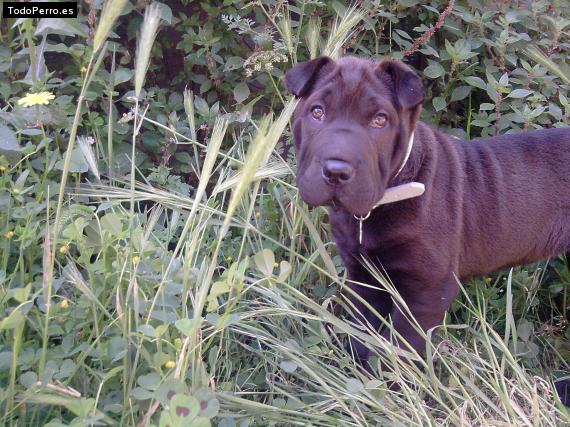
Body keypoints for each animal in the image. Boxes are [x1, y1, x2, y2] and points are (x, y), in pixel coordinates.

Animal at [284, 54, 568, 362]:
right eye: (317, 112)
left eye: (380, 120)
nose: (336, 171)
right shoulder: (364, 279)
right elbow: (363, 333)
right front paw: (357, 369)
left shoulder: (426, 290)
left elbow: (403, 347)